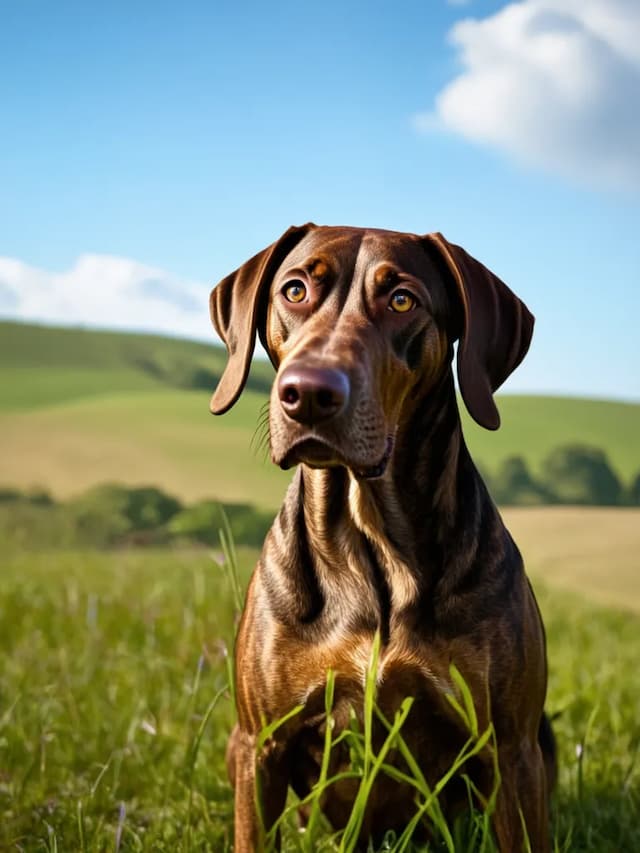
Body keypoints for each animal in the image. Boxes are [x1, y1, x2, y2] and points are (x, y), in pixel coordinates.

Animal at [210, 226, 556, 852]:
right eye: (294, 290)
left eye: (401, 300)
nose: (308, 393)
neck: (369, 544)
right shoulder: (260, 745)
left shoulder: (511, 750)